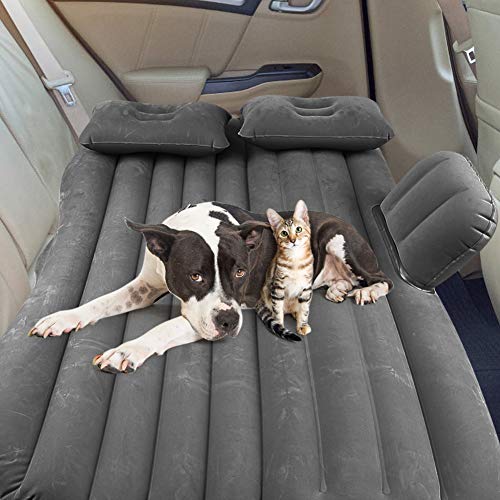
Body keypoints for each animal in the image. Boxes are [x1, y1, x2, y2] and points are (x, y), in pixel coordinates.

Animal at [257, 200, 314, 337]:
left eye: (298, 229)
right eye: (284, 233)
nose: (293, 240)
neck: (295, 261)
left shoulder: (306, 288)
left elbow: (305, 309)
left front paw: (302, 325)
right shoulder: (278, 286)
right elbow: (277, 309)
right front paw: (279, 325)